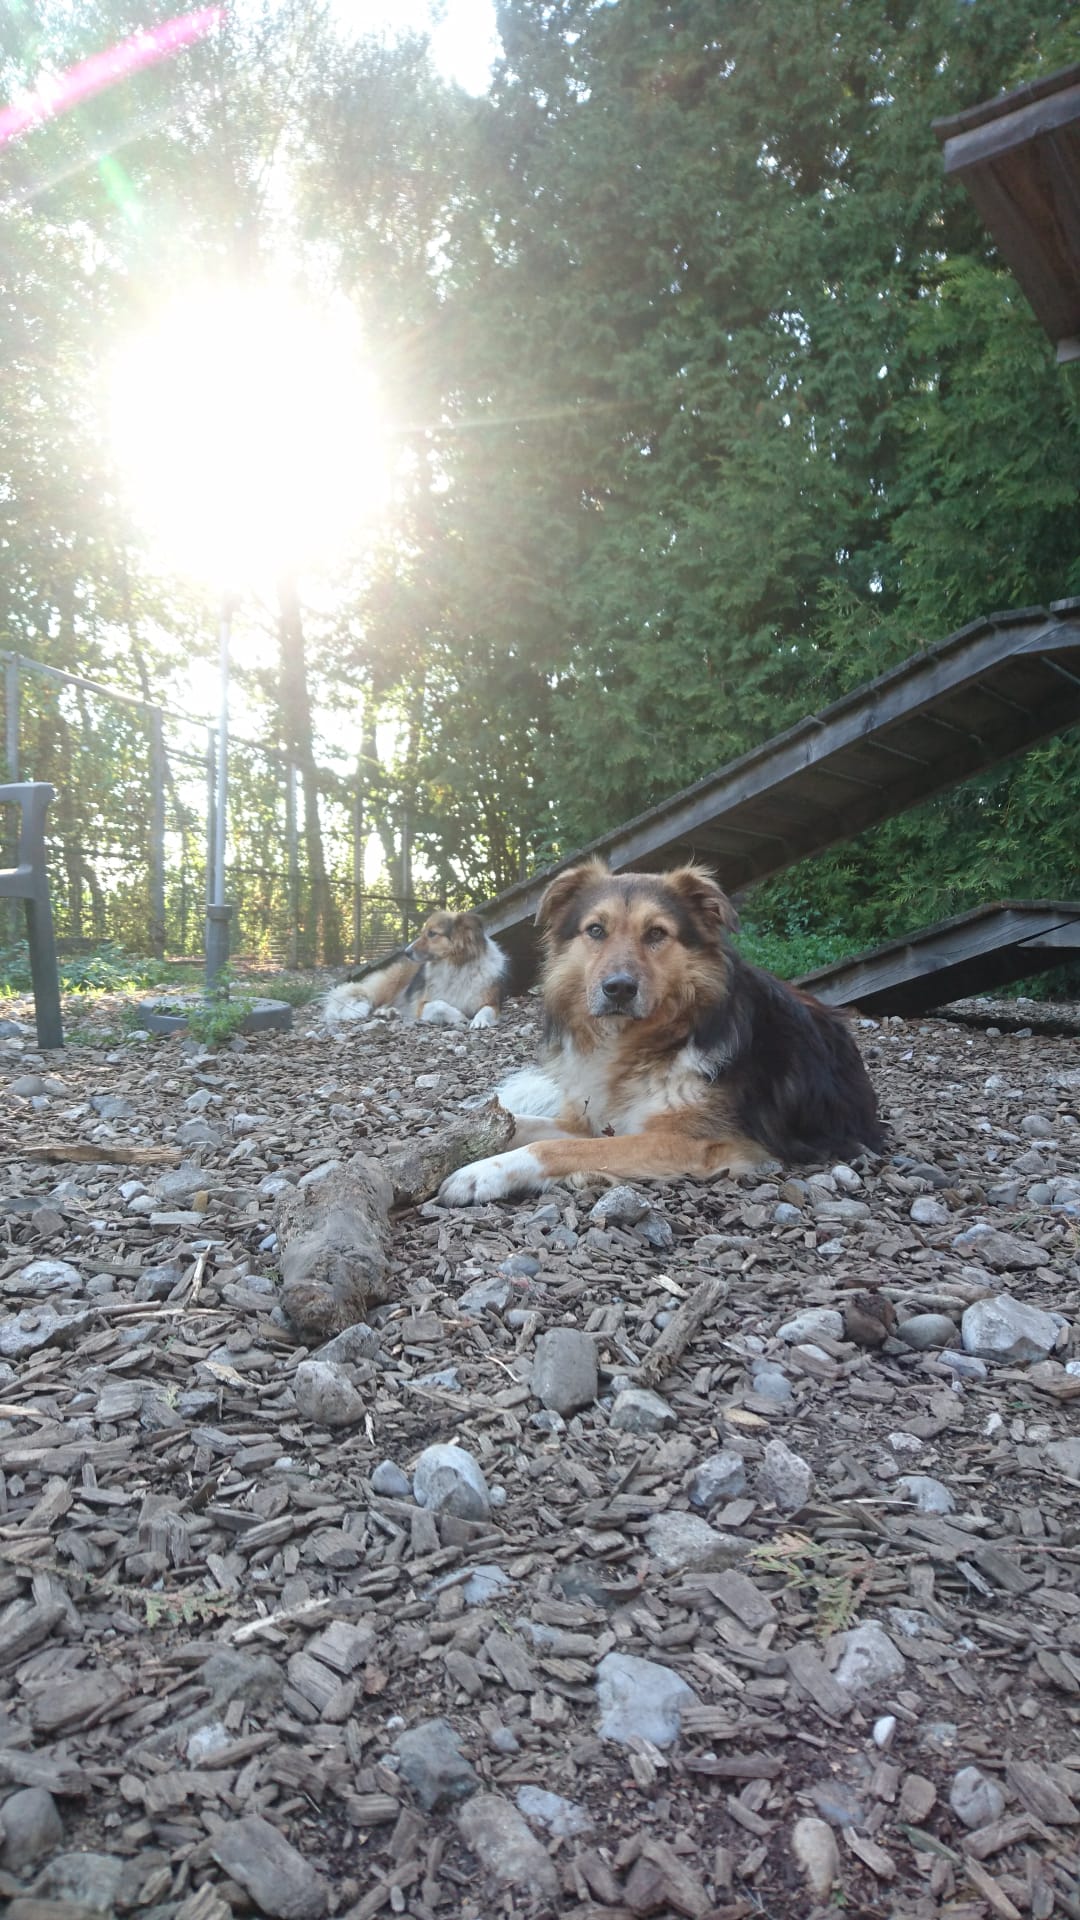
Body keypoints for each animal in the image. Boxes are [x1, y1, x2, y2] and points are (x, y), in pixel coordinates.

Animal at [324, 910, 508, 1030]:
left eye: (432, 933)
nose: (406, 952)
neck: (456, 966)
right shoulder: (422, 1005)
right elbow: (439, 1005)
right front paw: (459, 1015)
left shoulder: (492, 1002)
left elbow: (485, 1010)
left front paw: (479, 1021)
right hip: (392, 981)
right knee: (376, 1003)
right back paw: (386, 1011)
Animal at [438, 859, 884, 1202]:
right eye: (595, 930)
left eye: (656, 933)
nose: (618, 988)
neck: (638, 1043)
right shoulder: (591, 1119)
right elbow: (525, 1125)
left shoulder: (694, 1140)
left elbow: (556, 1147)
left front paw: (484, 1172)